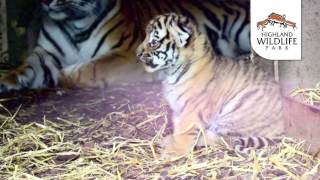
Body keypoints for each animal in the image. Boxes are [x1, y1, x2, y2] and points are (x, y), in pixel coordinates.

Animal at [0, 0, 250, 93]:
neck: (73, 24)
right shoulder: (46, 53)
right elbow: (28, 66)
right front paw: (7, 81)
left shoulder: (128, 54)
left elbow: (90, 67)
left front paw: (63, 78)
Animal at [135, 13, 282, 158]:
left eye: (154, 42)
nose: (137, 53)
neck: (171, 73)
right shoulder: (179, 109)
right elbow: (178, 128)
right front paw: (171, 141)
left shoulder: (192, 109)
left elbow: (184, 132)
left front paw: (174, 151)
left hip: (234, 113)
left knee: (225, 139)